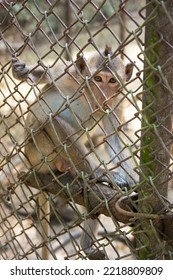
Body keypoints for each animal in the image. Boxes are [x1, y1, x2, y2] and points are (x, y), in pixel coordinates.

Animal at [11, 45, 135, 258]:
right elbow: (47, 74)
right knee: (49, 120)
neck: (87, 96)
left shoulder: (116, 101)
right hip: (37, 152)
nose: (103, 94)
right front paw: (21, 72)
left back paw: (88, 244)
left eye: (112, 81)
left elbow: (113, 137)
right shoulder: (69, 74)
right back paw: (98, 173)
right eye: (98, 79)